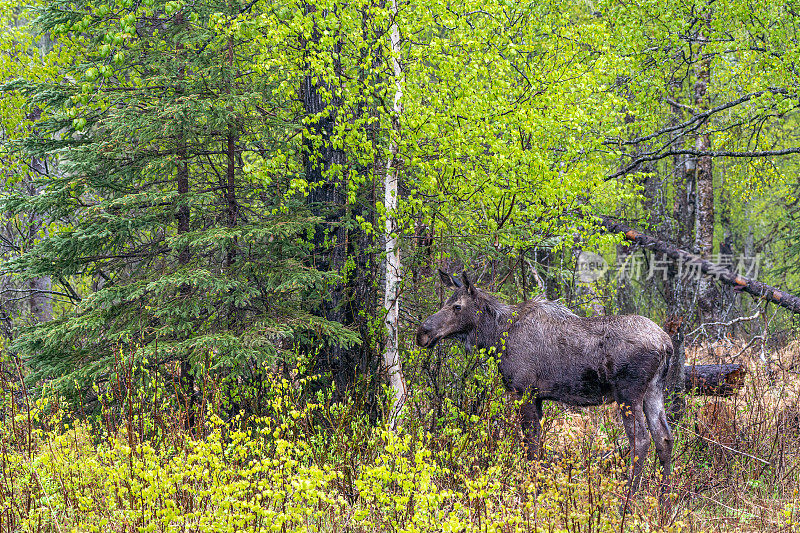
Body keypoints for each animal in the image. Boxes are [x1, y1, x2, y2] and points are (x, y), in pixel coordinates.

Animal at [418, 270, 676, 508]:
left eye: (457, 306)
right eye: (445, 302)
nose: (423, 333)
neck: (495, 337)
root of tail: (666, 344)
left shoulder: (523, 391)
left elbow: (530, 445)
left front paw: (530, 494)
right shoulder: (538, 397)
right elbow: (538, 445)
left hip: (628, 393)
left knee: (641, 440)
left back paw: (629, 501)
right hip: (654, 390)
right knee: (664, 438)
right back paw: (664, 501)